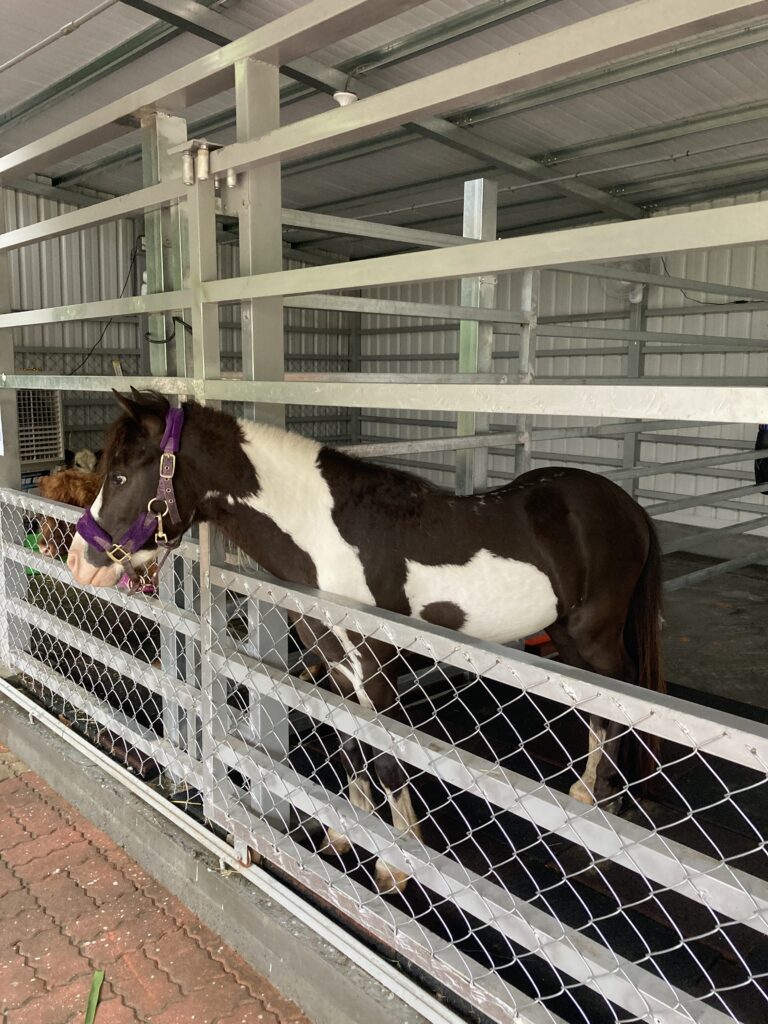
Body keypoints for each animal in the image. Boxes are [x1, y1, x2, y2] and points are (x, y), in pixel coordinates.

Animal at [67, 389, 664, 892]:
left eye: (120, 476)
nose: (78, 562)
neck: (324, 535)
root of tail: (626, 505)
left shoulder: (373, 665)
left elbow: (385, 757)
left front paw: (396, 864)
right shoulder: (335, 662)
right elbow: (350, 744)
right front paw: (344, 834)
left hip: (596, 632)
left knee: (619, 703)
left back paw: (605, 803)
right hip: (566, 635)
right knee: (598, 707)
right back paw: (587, 794)